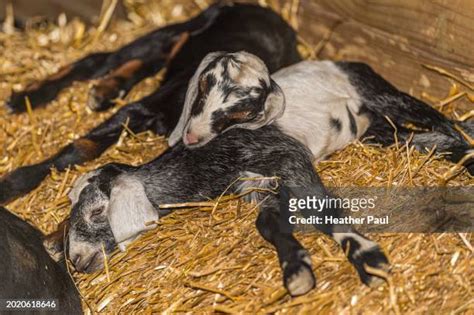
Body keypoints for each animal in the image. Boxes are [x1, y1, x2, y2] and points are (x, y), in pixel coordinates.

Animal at [170, 53, 474, 174]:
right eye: (203, 86)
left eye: (243, 110)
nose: (192, 136)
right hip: (379, 128)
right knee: (414, 136)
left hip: (381, 95)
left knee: (437, 119)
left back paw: (464, 135)